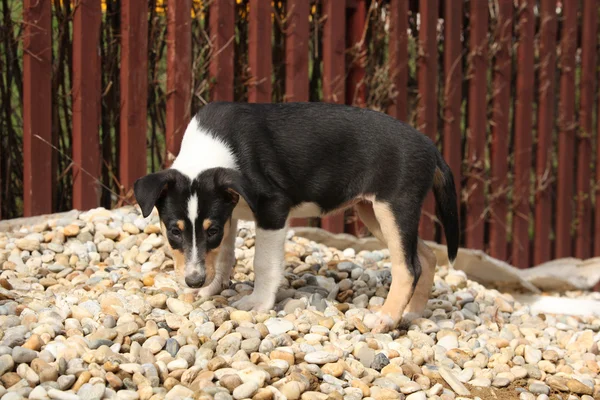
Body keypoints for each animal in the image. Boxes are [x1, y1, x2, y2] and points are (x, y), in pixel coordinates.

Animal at [134, 101, 458, 332]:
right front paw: (210, 289)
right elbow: (223, 257)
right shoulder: (229, 215)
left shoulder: (273, 209)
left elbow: (264, 263)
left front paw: (258, 303)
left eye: (210, 230)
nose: (193, 281)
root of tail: (431, 147)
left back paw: (386, 318)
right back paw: (412, 313)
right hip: (373, 212)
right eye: (174, 231)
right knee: (427, 256)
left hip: (394, 208)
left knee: (408, 267)